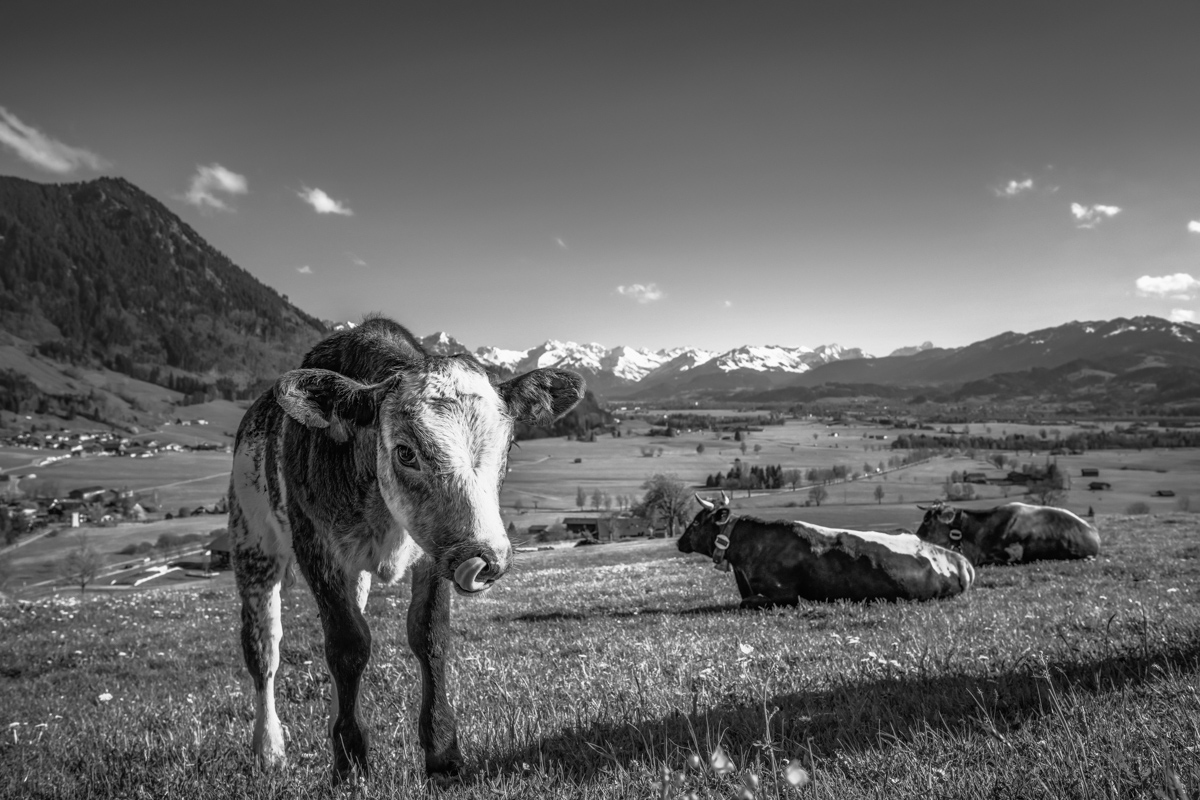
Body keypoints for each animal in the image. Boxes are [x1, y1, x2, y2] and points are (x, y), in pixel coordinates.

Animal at [228, 317, 583, 782]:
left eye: (508, 447)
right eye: (405, 452)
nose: (487, 557)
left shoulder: (433, 557)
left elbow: (428, 635)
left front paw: (441, 751)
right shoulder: (316, 549)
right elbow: (347, 645)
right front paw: (351, 758)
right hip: (252, 545)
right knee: (264, 650)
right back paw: (268, 748)